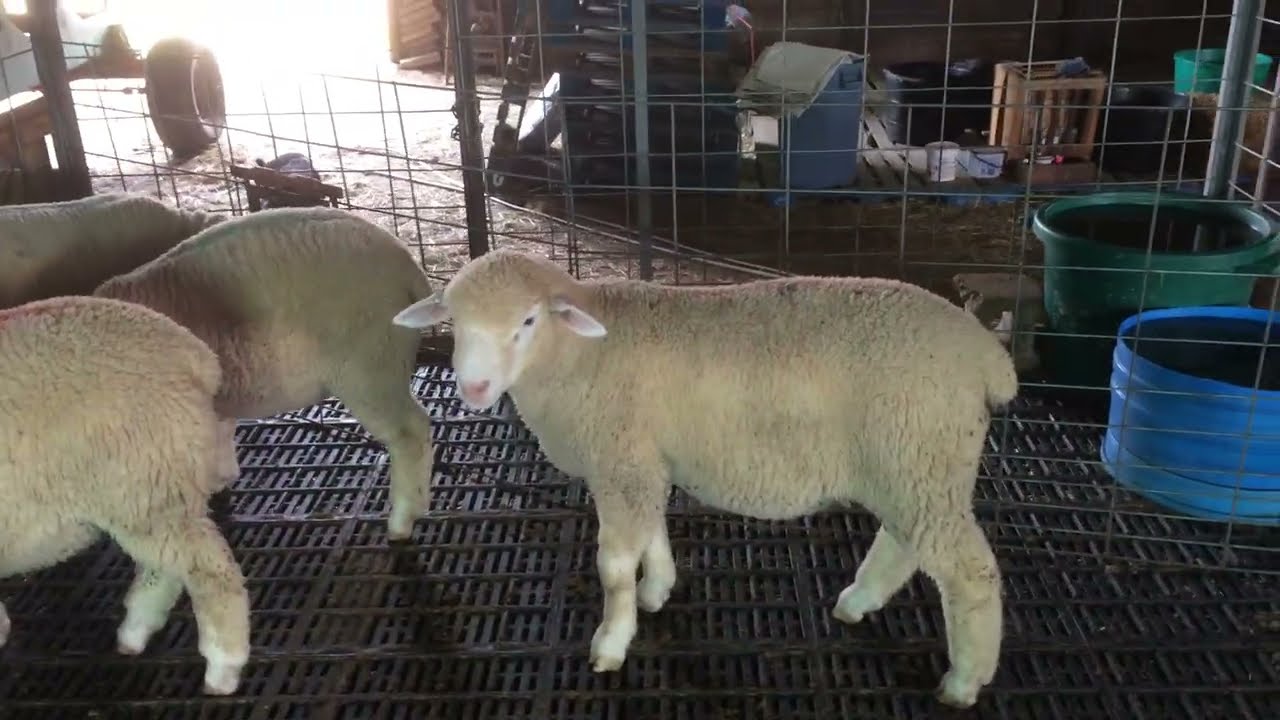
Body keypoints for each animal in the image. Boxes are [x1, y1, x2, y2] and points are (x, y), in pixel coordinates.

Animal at [0, 295, 251, 695]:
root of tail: (193, 354)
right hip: (149, 494)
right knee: (164, 569)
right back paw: (136, 631)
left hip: (144, 486)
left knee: (211, 571)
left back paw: (222, 666)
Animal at [391, 249, 1019, 709]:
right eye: (455, 323)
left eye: (525, 321)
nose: (472, 389)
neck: (579, 356)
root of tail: (990, 357)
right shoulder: (644, 460)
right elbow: (653, 536)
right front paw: (657, 589)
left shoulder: (621, 460)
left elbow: (613, 567)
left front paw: (611, 642)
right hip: (911, 468)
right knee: (905, 543)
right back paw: (858, 601)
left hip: (921, 457)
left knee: (970, 571)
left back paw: (964, 682)